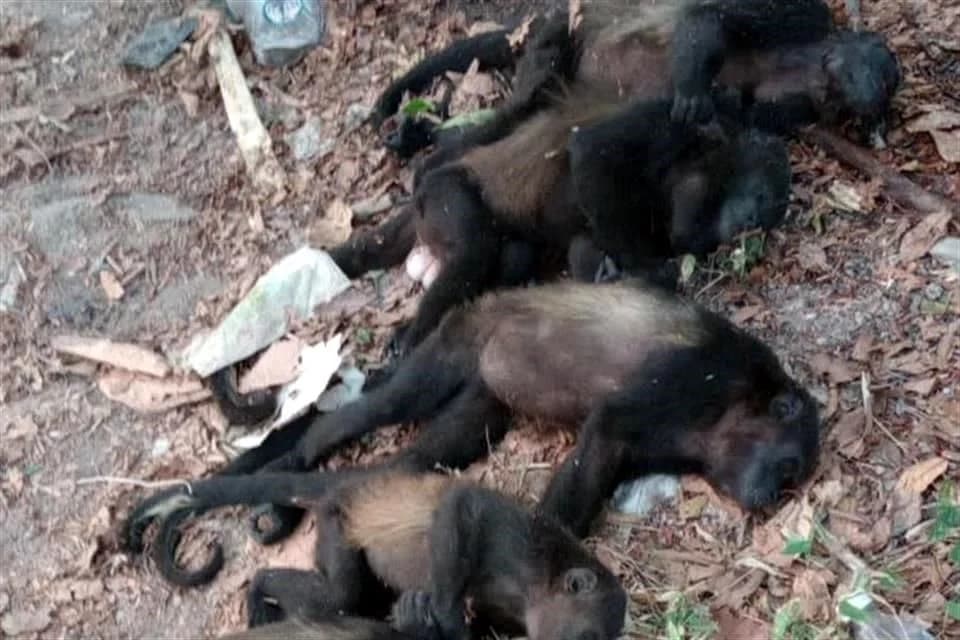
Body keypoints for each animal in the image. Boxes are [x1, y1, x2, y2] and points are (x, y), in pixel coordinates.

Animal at [123, 468, 628, 640]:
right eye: (586, 639)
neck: (538, 582)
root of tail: (351, 483)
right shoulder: (517, 541)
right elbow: (459, 506)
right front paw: (443, 618)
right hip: (336, 520)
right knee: (341, 593)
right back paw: (259, 588)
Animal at [177, 279, 819, 543]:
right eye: (788, 468)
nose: (771, 495)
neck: (733, 410)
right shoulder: (697, 376)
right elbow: (605, 432)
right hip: (462, 338)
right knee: (393, 403)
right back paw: (311, 448)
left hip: (485, 391)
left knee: (436, 451)